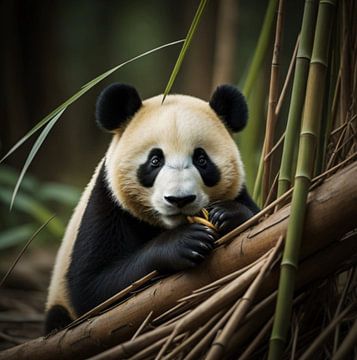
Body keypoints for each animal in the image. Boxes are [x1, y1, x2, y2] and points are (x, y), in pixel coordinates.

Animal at [43, 83, 258, 334]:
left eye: (201, 159)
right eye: (155, 160)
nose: (179, 199)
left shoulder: (240, 192)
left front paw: (227, 214)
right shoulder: (108, 202)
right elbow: (94, 287)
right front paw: (184, 242)